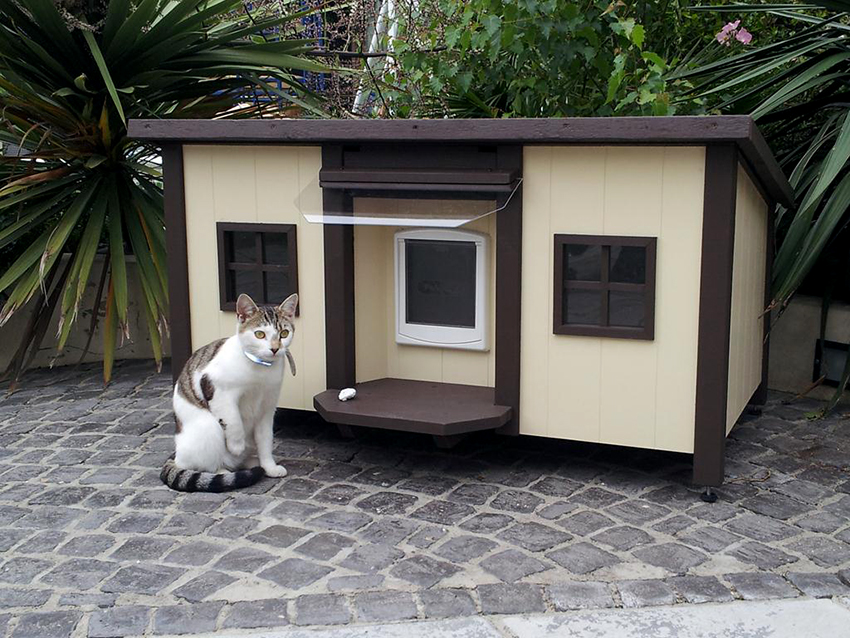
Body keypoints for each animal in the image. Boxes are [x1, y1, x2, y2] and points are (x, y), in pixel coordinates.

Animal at [160, 292, 298, 492]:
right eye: (260, 334)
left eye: (284, 333)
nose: (274, 348)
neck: (260, 370)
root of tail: (176, 455)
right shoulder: (217, 389)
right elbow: (234, 420)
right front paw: (236, 445)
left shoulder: (268, 407)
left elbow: (265, 440)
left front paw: (269, 466)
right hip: (208, 428)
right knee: (203, 465)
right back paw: (223, 471)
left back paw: (253, 462)